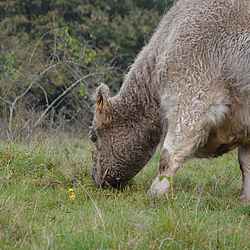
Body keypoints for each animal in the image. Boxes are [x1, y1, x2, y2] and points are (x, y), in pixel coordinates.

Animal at [90, 0, 250, 205]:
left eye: (94, 137)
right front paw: (245, 200)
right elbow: (245, 162)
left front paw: (154, 194)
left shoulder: (191, 97)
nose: (94, 175)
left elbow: (168, 156)